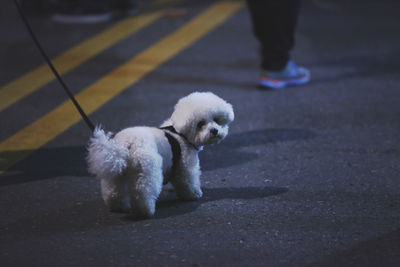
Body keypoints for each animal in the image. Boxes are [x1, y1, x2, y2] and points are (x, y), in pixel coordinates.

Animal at [86, 92, 233, 218]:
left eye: (216, 120)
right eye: (200, 123)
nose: (215, 130)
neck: (180, 133)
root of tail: (125, 145)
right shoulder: (186, 165)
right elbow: (188, 181)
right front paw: (193, 194)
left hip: (116, 174)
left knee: (114, 191)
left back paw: (119, 207)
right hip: (147, 170)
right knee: (143, 192)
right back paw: (145, 211)